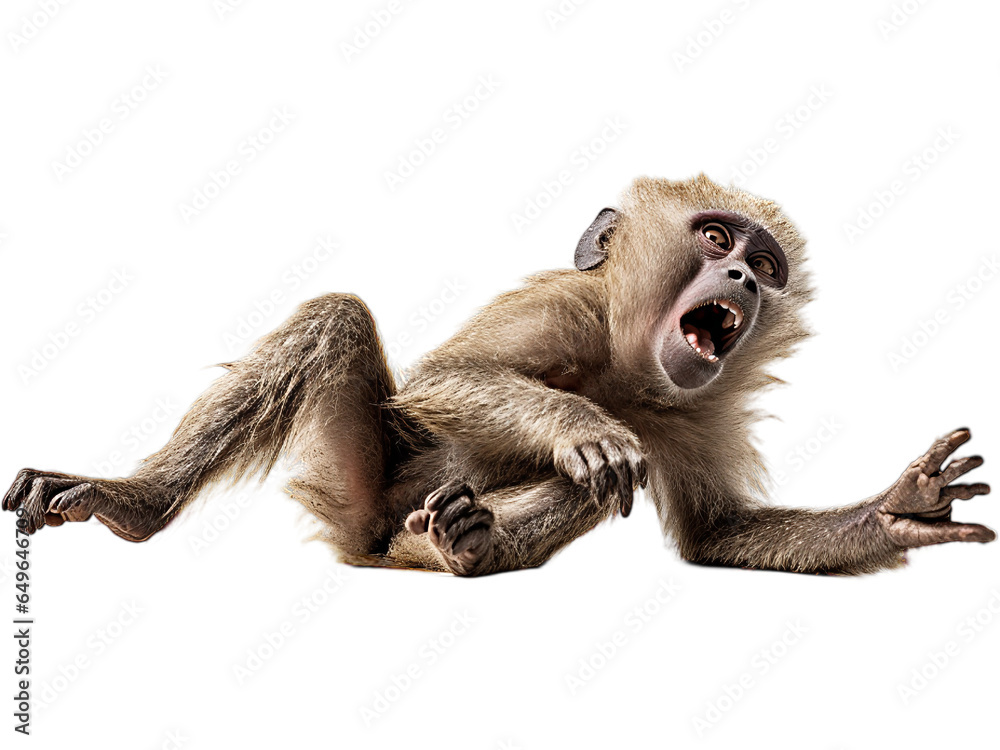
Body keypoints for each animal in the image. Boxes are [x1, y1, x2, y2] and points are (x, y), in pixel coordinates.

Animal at [3, 174, 993, 576]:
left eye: (764, 264)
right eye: (716, 239)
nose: (745, 281)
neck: (629, 371)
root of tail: (374, 534)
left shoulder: (695, 410)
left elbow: (720, 533)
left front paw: (900, 511)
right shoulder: (565, 308)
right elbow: (447, 378)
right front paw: (580, 427)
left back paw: (467, 547)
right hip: (365, 479)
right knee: (338, 322)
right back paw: (138, 503)